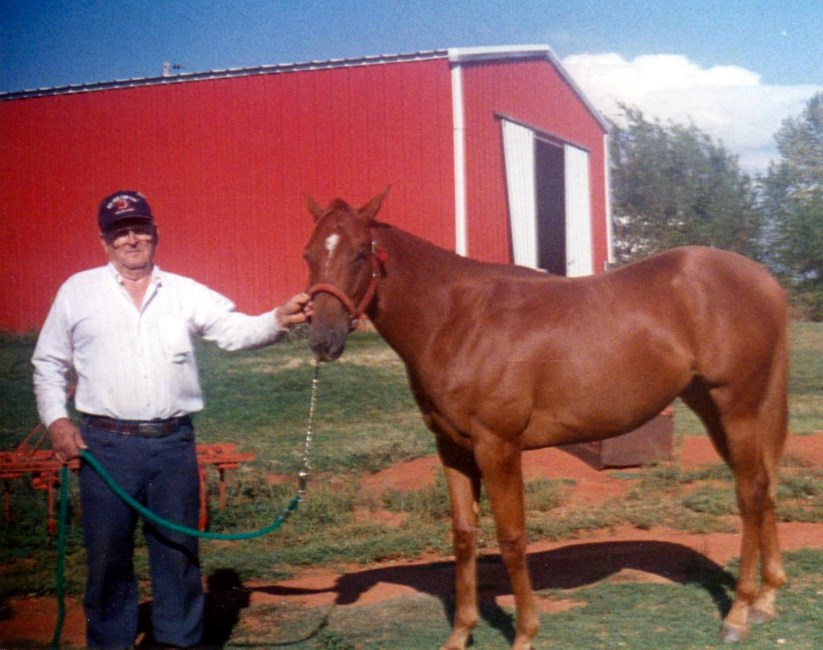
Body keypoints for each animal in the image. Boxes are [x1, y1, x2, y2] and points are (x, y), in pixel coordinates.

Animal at [304, 191, 792, 648]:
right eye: (309, 254)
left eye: (360, 254)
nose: (322, 340)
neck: (458, 318)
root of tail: (765, 281)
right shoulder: (453, 448)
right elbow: (464, 536)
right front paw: (460, 633)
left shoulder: (497, 446)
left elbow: (511, 537)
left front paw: (524, 633)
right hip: (713, 408)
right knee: (763, 485)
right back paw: (766, 600)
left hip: (737, 406)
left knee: (750, 493)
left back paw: (738, 614)